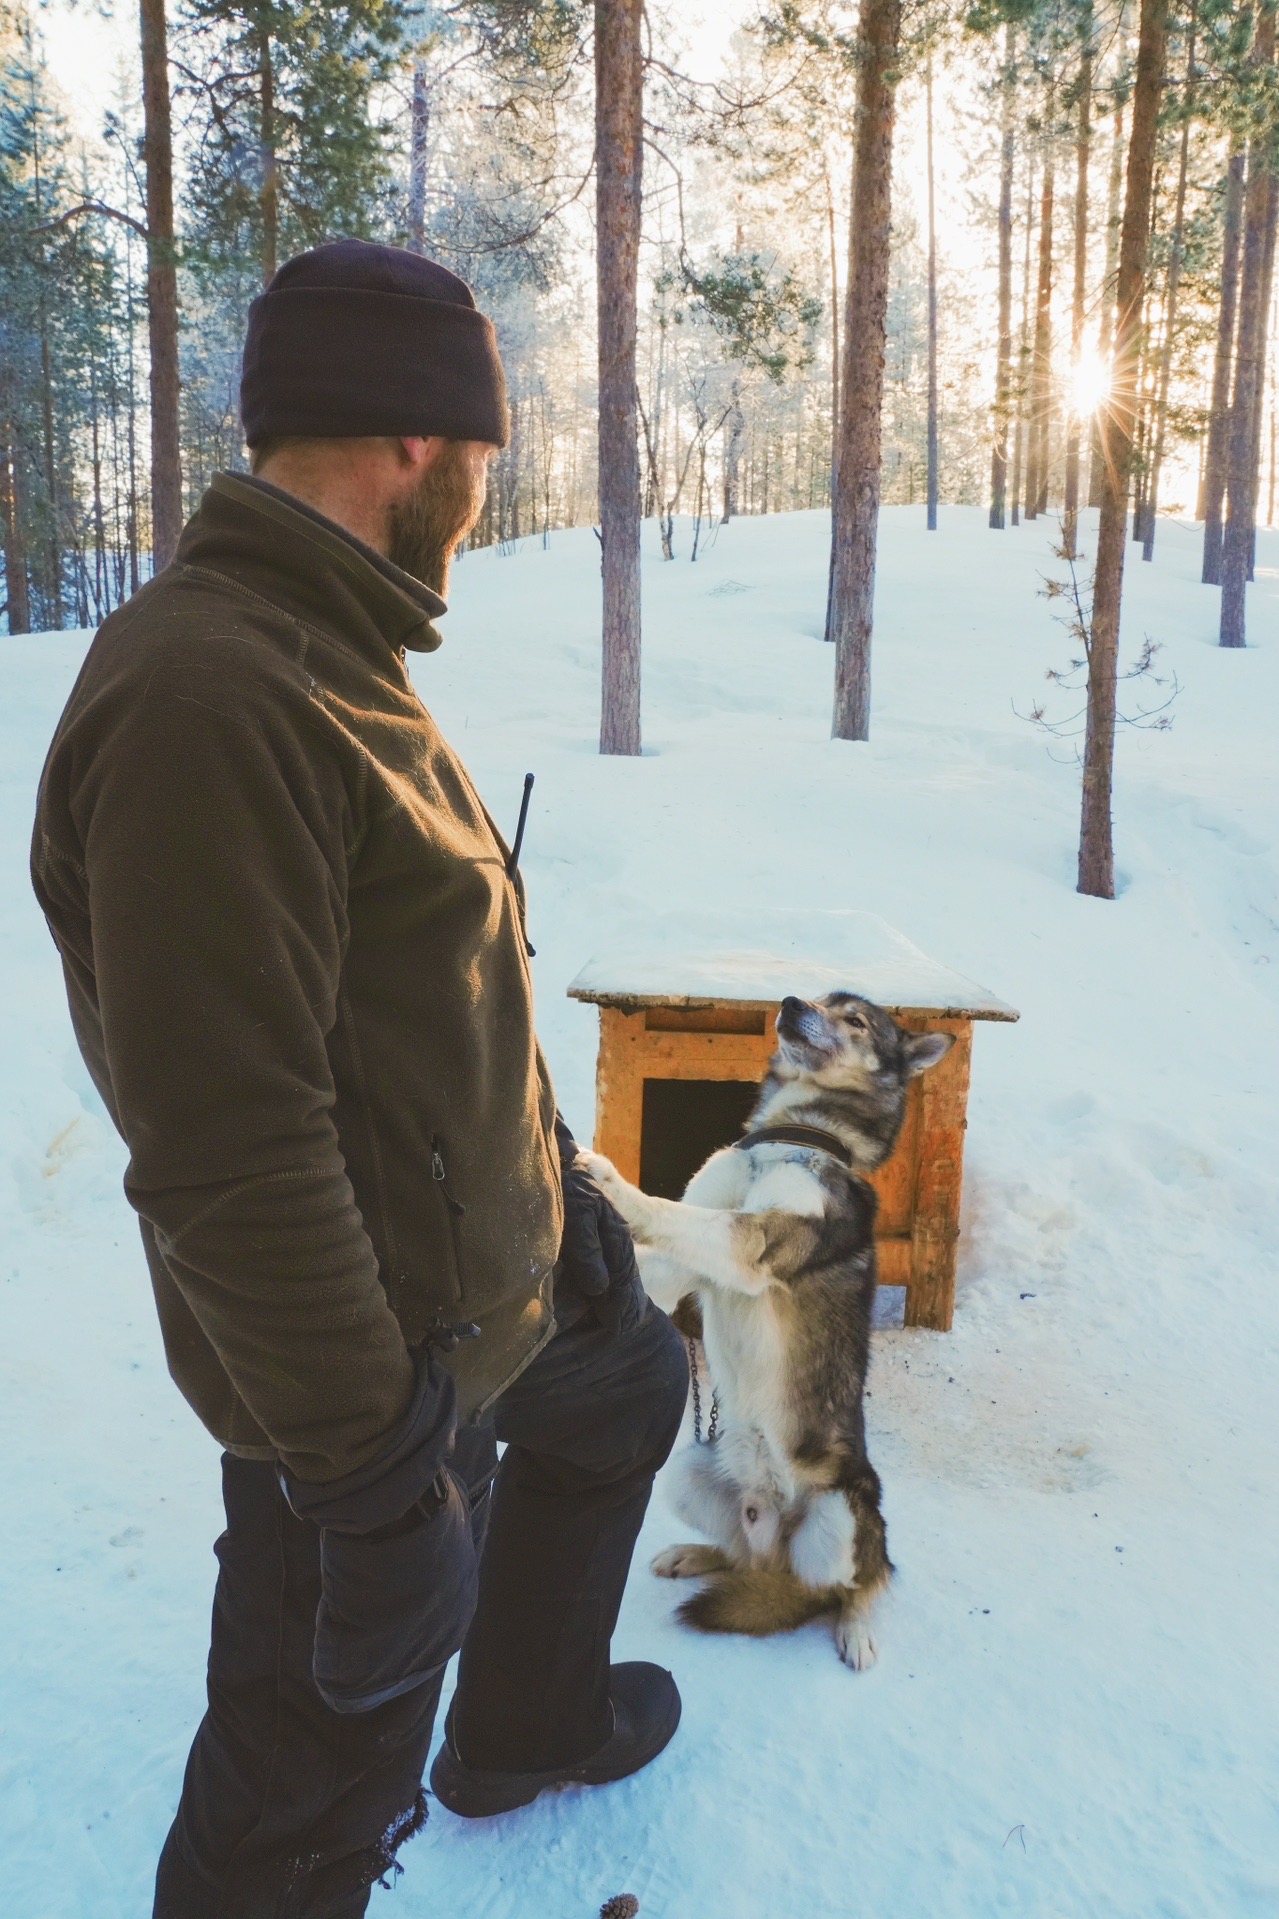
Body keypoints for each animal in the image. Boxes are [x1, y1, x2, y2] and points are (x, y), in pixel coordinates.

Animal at [583, 990, 952, 1665]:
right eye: (822, 997)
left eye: (855, 1020)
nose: (789, 1002)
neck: (792, 1137)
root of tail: (778, 1548)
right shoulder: (682, 1269)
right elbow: (666, 1241)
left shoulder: (751, 1242)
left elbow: (667, 1211)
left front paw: (609, 1179)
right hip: (686, 1471)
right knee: (743, 1561)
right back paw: (695, 1555)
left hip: (842, 1512)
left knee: (858, 1582)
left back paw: (855, 1627)